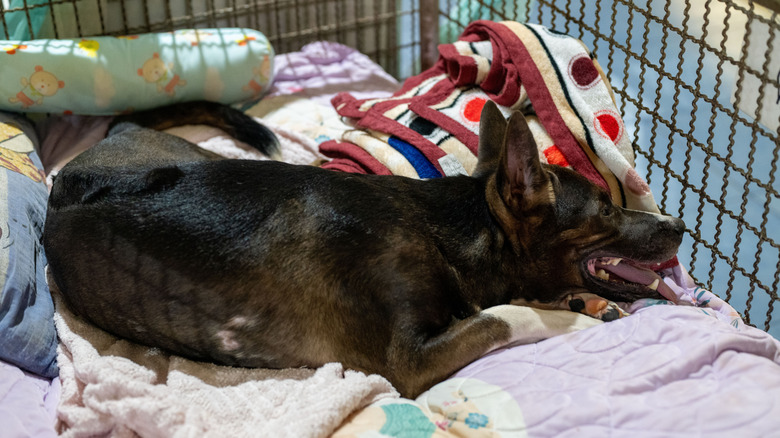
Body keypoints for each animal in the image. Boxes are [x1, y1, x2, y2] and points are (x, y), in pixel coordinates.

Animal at [42, 100, 684, 396]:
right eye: (605, 209)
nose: (678, 225)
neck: (444, 229)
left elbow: (515, 303)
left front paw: (580, 303)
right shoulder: (409, 361)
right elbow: (504, 315)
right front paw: (573, 319)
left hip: (208, 159)